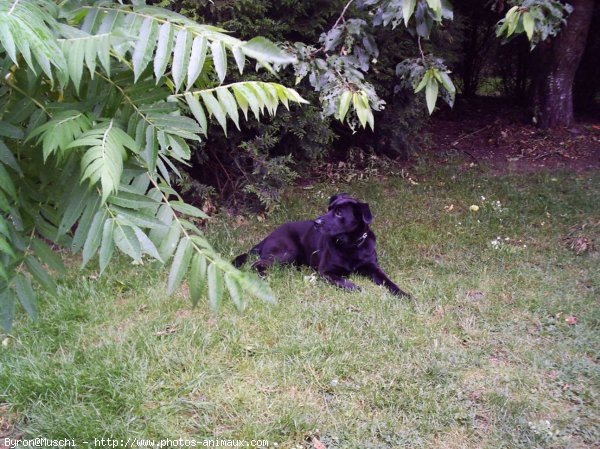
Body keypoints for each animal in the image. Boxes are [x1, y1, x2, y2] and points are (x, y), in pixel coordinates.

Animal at [232, 193, 410, 296]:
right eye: (329, 209)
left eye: (338, 213)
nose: (316, 222)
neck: (351, 245)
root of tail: (268, 235)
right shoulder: (326, 271)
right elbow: (344, 282)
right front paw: (359, 289)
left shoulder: (373, 268)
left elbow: (389, 282)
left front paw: (405, 295)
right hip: (286, 252)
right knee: (256, 264)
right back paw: (264, 277)